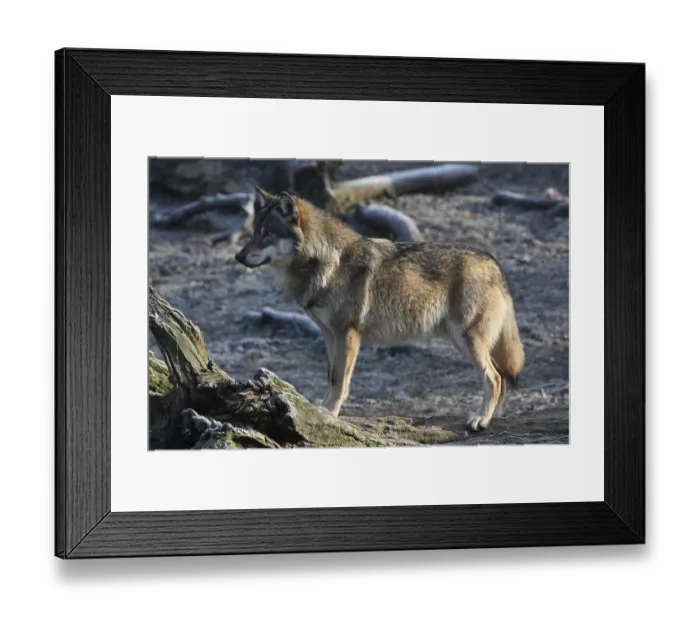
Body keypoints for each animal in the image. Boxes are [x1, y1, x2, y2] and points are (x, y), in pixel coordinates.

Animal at [235, 188, 525, 431]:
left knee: (495, 378)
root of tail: (493, 263)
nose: (238, 257)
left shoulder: (348, 334)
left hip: (466, 340)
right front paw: (320, 409)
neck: (326, 262)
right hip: (463, 340)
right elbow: (330, 376)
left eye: (268, 233)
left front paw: (330, 413)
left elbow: (340, 379)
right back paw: (493, 416)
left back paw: (481, 419)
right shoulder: (329, 335)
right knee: (501, 378)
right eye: (254, 231)